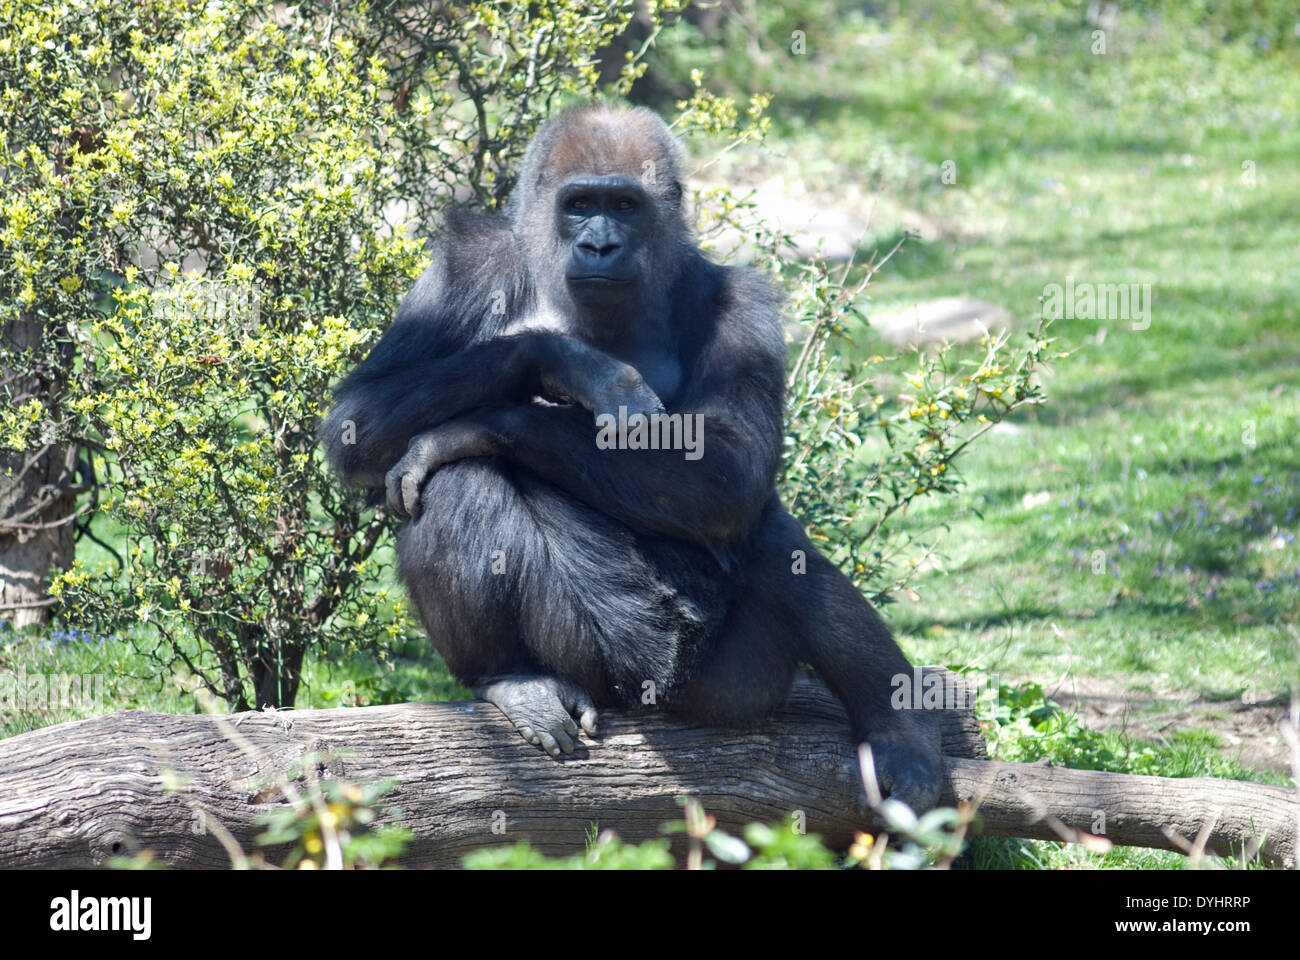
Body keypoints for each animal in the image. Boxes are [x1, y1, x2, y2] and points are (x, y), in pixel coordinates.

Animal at [319, 102, 941, 806]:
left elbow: (730, 472)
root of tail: (652, 690)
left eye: (624, 205)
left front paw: (491, 420)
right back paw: (510, 678)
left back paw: (896, 724)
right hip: (592, 662)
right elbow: (359, 417)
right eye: (580, 204)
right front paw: (563, 363)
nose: (599, 245)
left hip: (728, 689)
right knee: (451, 481)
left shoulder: (741, 303)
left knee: (766, 533)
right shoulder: (463, 271)